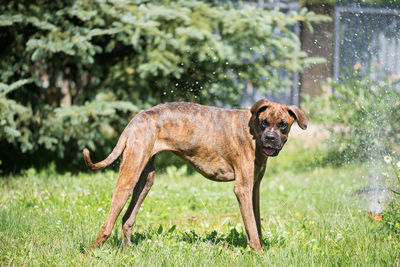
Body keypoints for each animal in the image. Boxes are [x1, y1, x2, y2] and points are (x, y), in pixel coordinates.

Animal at [83, 100, 310, 253]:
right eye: (264, 122)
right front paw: (258, 254)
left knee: (127, 219)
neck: (253, 131)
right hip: (127, 180)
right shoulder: (242, 190)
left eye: (283, 124)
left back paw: (127, 252)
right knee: (108, 223)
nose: (270, 139)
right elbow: (252, 230)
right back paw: (90, 252)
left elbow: (256, 224)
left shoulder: (254, 190)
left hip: (145, 180)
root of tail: (137, 117)